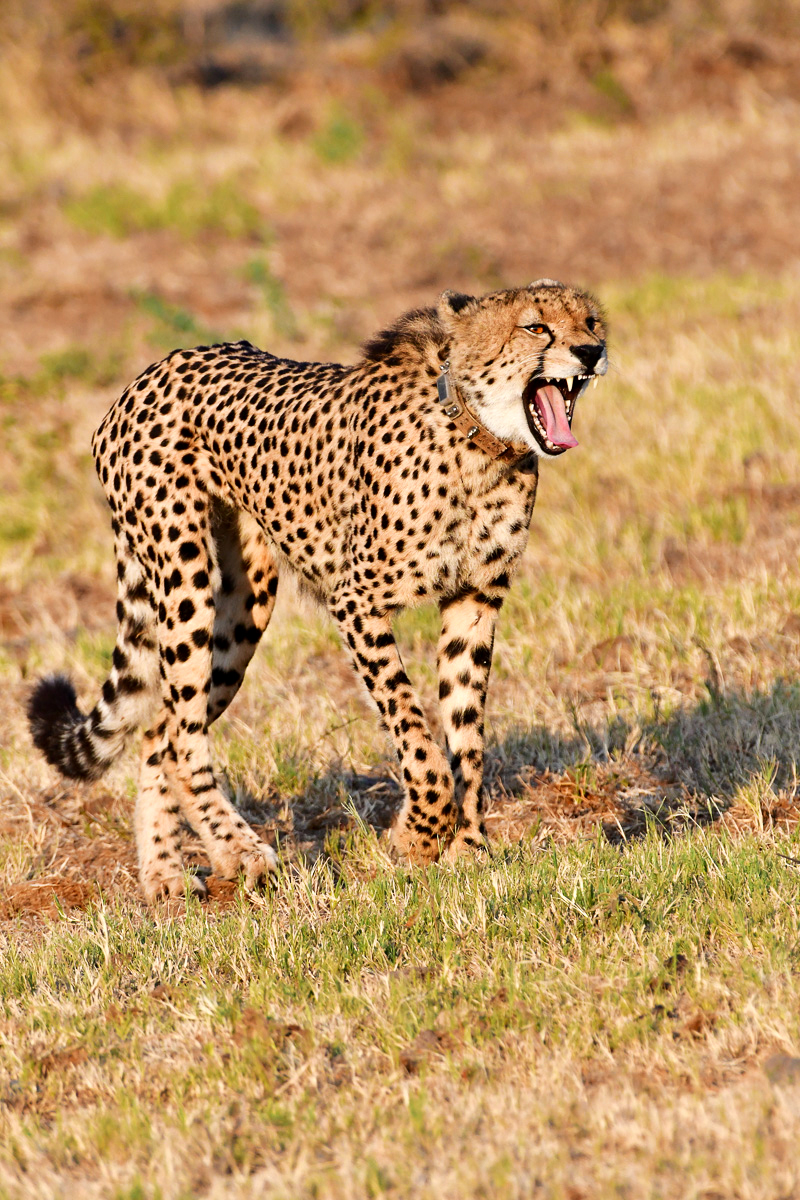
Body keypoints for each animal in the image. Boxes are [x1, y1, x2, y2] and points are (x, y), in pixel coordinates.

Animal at [28, 280, 607, 904]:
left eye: (592, 321)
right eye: (535, 327)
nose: (591, 352)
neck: (479, 441)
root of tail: (149, 373)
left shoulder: (475, 598)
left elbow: (466, 731)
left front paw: (469, 847)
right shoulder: (356, 601)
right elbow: (416, 733)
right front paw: (418, 837)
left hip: (245, 606)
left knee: (162, 729)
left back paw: (165, 874)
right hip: (184, 576)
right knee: (180, 736)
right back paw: (241, 852)